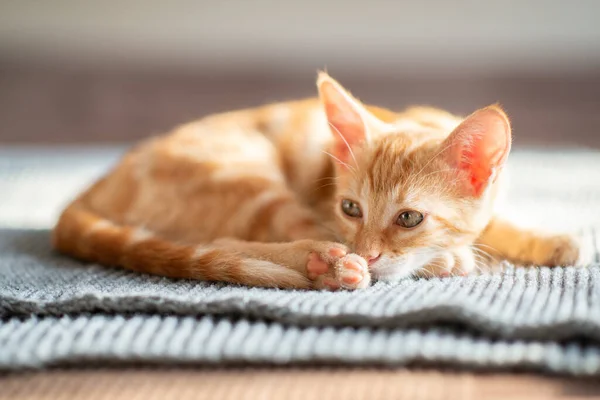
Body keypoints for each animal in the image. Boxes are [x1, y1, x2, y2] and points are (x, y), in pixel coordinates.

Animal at [51, 72, 584, 290]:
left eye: (409, 218)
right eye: (351, 209)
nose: (367, 252)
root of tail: (94, 186)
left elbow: (497, 222)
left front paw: (550, 240)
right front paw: (446, 259)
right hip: (246, 182)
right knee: (226, 241)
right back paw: (324, 265)